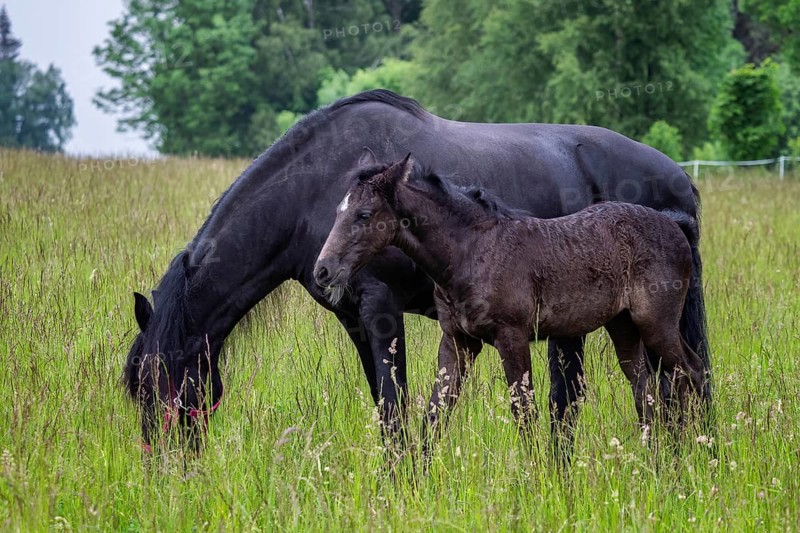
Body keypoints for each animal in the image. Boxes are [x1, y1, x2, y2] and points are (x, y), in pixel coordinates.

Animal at [314, 156, 708, 451]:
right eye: (337, 212)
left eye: (364, 215)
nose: (323, 269)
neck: (470, 251)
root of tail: (675, 225)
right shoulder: (458, 342)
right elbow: (436, 412)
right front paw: (414, 480)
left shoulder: (512, 337)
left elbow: (524, 411)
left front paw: (539, 481)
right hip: (623, 326)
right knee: (646, 388)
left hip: (656, 323)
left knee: (691, 372)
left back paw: (700, 454)